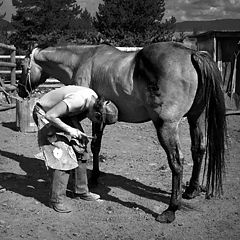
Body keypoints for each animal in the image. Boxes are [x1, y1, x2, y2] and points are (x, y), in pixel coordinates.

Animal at [17, 41, 226, 223]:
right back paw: (191, 190)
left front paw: (94, 177)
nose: (20, 91)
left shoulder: (93, 115)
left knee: (176, 161)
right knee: (199, 149)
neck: (81, 60)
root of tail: (192, 54)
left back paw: (170, 210)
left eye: (23, 66)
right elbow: (95, 144)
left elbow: (95, 145)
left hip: (167, 126)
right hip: (196, 117)